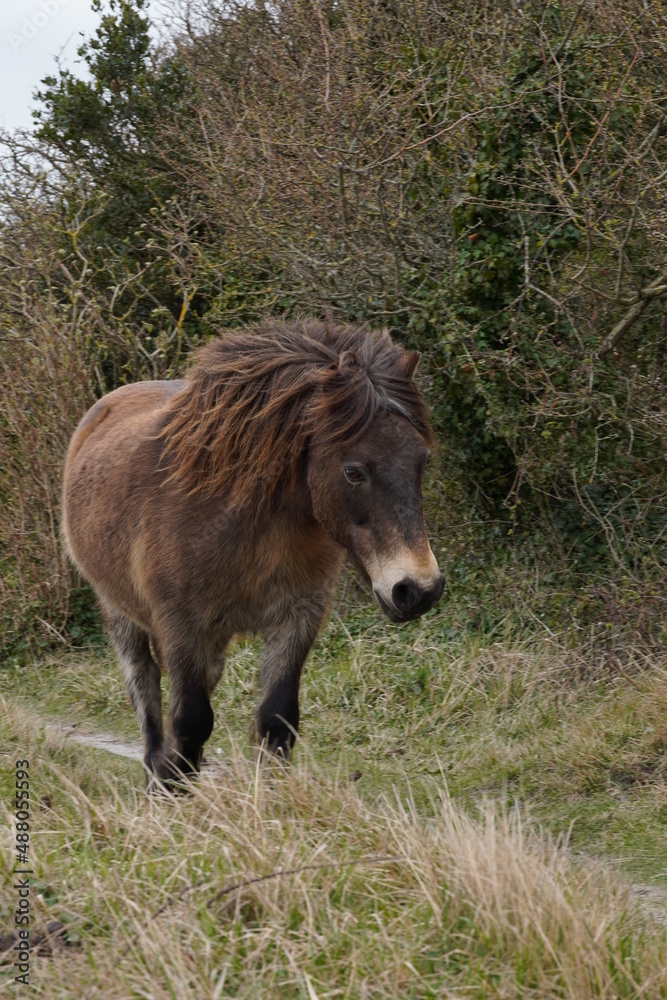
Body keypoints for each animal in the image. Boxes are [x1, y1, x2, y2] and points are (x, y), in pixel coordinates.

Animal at [62, 319, 444, 782]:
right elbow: (191, 722)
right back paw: (156, 769)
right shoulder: (180, 626)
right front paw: (174, 787)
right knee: (145, 685)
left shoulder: (296, 619)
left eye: (422, 461)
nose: (419, 589)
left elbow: (277, 718)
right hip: (120, 612)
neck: (245, 527)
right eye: (354, 472)